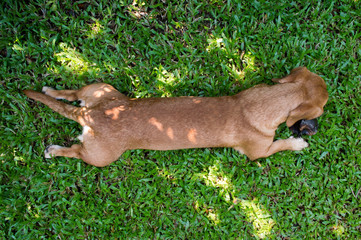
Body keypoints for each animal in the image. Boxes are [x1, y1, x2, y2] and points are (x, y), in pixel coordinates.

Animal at [22, 66, 326, 166]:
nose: (314, 129)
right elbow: (281, 145)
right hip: (100, 157)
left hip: (100, 88)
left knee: (74, 93)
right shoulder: (259, 153)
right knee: (74, 151)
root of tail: (89, 114)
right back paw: (54, 150)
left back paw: (52, 90)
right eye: (321, 110)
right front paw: (298, 143)